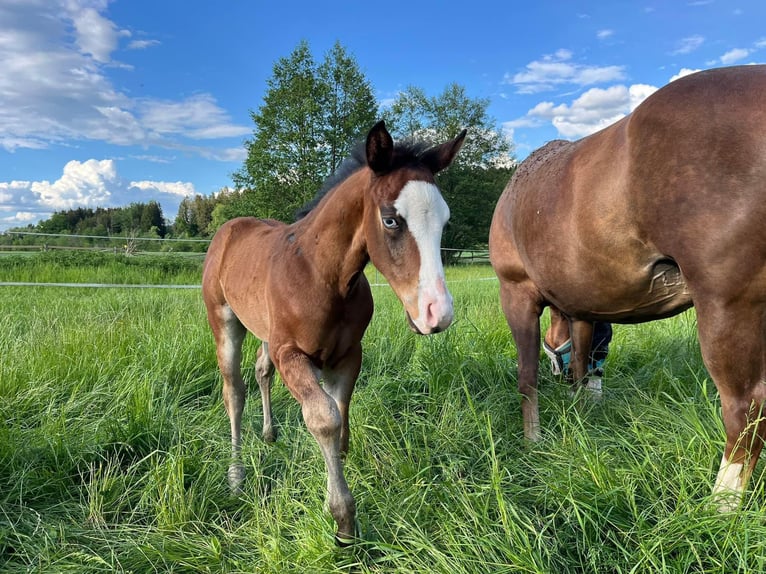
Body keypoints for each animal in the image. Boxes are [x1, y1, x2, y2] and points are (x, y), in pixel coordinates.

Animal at [202, 120, 466, 544]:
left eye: (444, 221)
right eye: (391, 219)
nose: (437, 313)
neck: (320, 274)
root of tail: (229, 228)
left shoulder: (346, 353)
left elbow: (341, 410)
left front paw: (341, 470)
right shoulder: (291, 353)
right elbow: (325, 417)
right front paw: (343, 519)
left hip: (264, 330)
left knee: (261, 370)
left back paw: (270, 434)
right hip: (225, 322)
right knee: (234, 392)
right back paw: (237, 474)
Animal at [488, 65, 766, 510]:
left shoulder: (516, 294)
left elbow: (527, 376)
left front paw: (533, 441)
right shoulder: (584, 311)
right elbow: (582, 364)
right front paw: (580, 416)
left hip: (727, 306)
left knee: (744, 409)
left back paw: (720, 507)